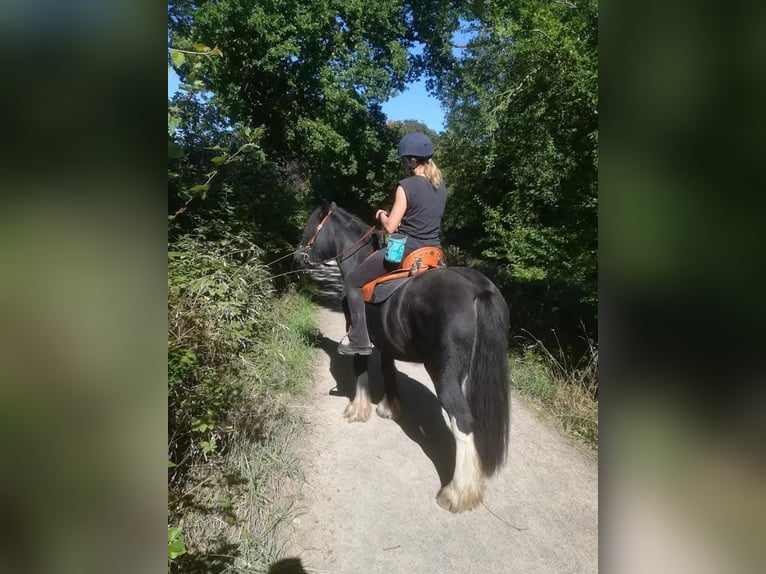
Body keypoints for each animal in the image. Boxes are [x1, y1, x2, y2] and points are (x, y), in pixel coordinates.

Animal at [296, 201, 511, 513]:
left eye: (312, 226)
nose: (298, 255)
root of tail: (477, 289)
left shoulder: (360, 333)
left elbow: (360, 365)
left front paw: (357, 409)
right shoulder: (385, 342)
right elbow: (388, 371)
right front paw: (389, 407)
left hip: (444, 374)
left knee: (462, 420)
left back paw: (457, 493)